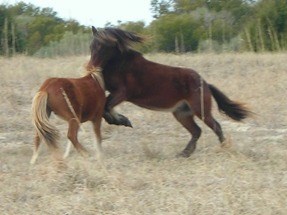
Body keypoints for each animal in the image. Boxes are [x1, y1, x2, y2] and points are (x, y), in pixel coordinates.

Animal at [88, 26, 252, 158]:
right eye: (91, 45)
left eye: (104, 46)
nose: (90, 67)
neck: (122, 65)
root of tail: (206, 84)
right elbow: (104, 107)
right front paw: (120, 120)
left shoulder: (122, 93)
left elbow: (106, 107)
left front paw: (122, 120)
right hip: (181, 113)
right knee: (196, 131)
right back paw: (184, 153)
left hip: (201, 111)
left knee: (215, 127)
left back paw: (225, 148)